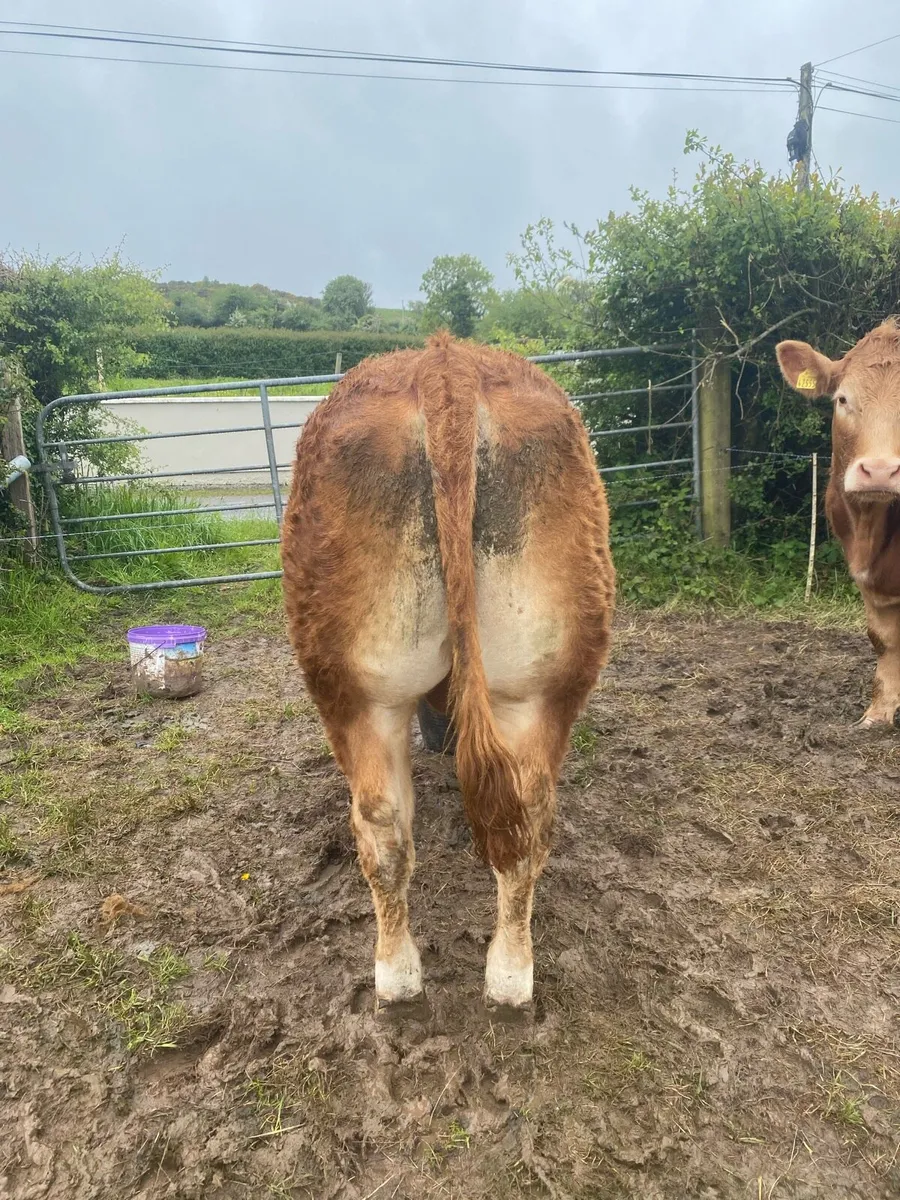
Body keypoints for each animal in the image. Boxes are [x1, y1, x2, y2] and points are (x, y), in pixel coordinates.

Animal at [281, 333, 615, 1006]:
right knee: (512, 820)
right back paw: (501, 977)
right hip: (532, 684)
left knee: (382, 826)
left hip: (353, 691)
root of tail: (445, 365)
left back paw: (400, 975)